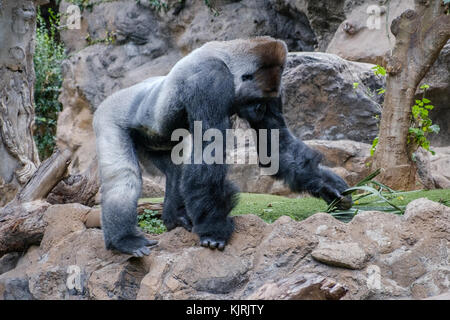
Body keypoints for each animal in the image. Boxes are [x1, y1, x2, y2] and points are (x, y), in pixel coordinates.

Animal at [93, 37, 350, 258]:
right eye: (257, 100)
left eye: (266, 102)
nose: (260, 110)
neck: (229, 60)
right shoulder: (210, 80)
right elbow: (208, 154)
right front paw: (213, 228)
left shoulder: (277, 87)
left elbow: (276, 146)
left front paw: (327, 186)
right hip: (108, 115)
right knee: (123, 178)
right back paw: (123, 240)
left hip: (154, 141)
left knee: (175, 170)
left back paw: (175, 218)